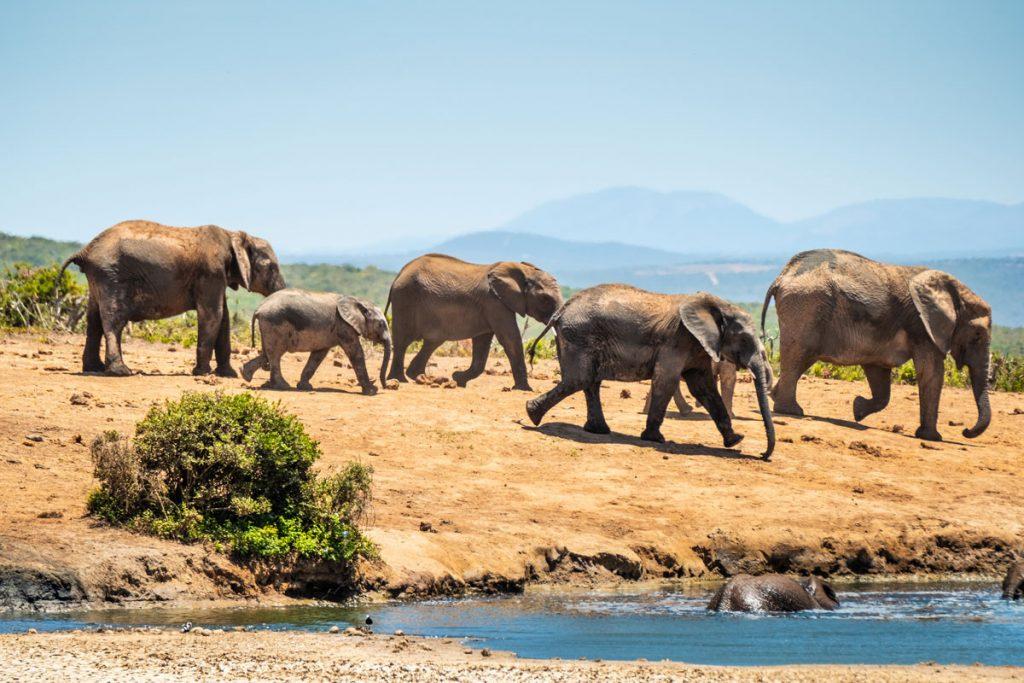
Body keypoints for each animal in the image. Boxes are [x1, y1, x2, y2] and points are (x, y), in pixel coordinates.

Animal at [59, 220, 285, 377]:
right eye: (272, 267)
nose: (266, 367)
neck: (233, 235)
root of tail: (86, 250)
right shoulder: (210, 273)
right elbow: (213, 314)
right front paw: (202, 373)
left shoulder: (216, 277)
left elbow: (224, 318)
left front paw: (228, 375)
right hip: (111, 276)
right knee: (114, 320)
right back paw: (121, 372)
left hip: (99, 278)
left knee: (94, 320)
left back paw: (94, 368)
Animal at [241, 289, 391, 394]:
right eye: (381, 324)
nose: (386, 386)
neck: (357, 301)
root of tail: (258, 308)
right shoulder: (344, 326)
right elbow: (356, 353)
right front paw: (372, 391)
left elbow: (318, 355)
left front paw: (305, 387)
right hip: (274, 323)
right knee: (275, 354)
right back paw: (282, 386)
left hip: (269, 326)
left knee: (268, 353)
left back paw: (245, 374)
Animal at [385, 254, 563, 391]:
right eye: (545, 299)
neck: (524, 271)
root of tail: (399, 274)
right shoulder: (494, 302)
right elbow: (510, 340)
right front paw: (524, 389)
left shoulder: (490, 307)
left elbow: (482, 344)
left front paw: (458, 379)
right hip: (405, 298)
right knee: (402, 341)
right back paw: (400, 380)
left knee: (432, 341)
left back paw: (417, 377)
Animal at [525, 285, 776, 459]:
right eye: (744, 339)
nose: (763, 454)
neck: (719, 306)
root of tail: (561, 310)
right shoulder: (677, 340)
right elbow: (667, 381)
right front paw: (655, 439)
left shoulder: (698, 347)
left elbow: (703, 389)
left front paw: (734, 440)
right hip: (579, 336)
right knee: (580, 378)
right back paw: (532, 414)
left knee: (590, 381)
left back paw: (598, 430)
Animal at [762, 249, 992, 441]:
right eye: (977, 336)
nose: (965, 431)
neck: (953, 291)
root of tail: (782, 276)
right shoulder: (922, 326)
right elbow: (931, 372)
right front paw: (932, 438)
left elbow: (879, 374)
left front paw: (857, 410)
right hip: (805, 307)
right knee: (798, 355)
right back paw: (792, 411)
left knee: (800, 359)